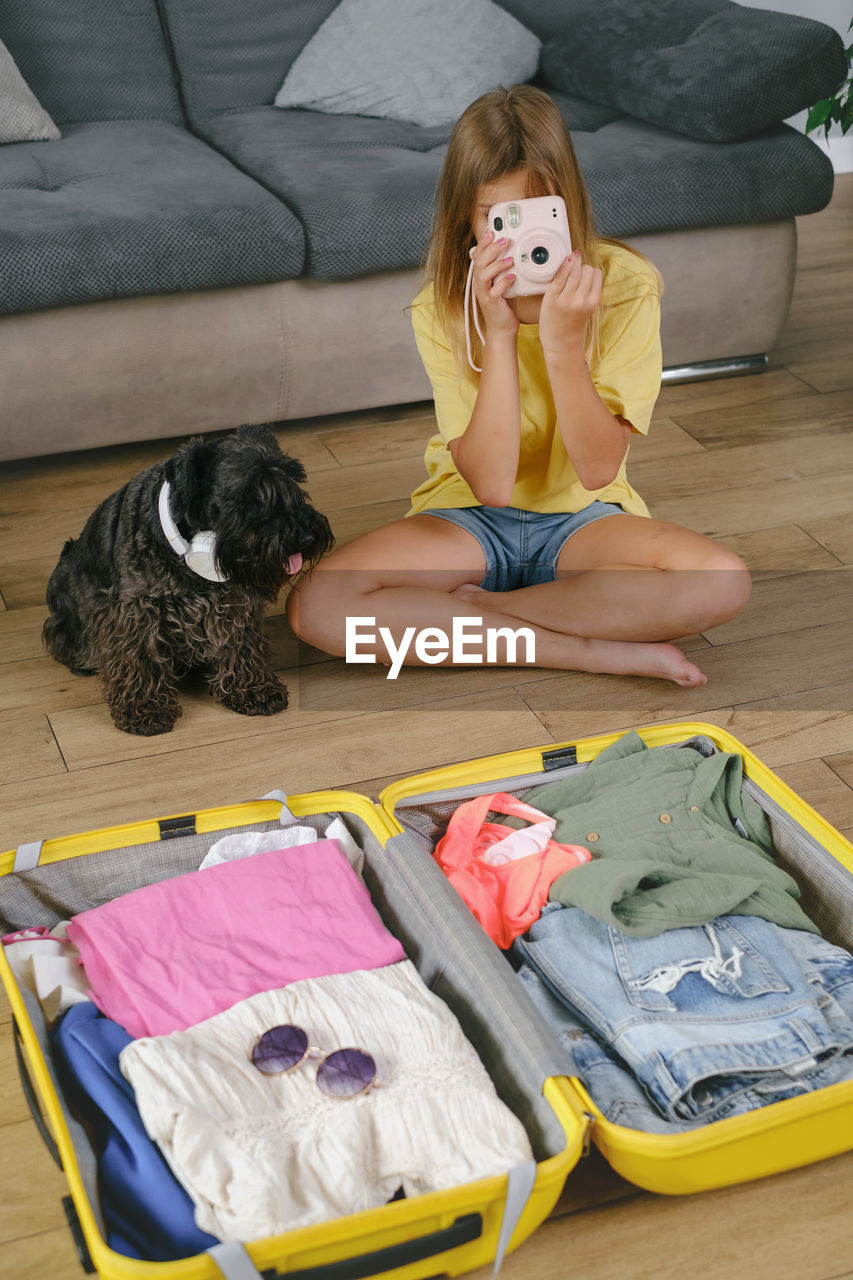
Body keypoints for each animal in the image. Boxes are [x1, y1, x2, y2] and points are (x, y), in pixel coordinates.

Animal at [42, 424, 333, 737]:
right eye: (251, 494)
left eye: (294, 481)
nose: (305, 536)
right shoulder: (136, 611)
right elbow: (139, 656)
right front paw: (145, 709)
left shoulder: (234, 603)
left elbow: (241, 644)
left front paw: (253, 688)